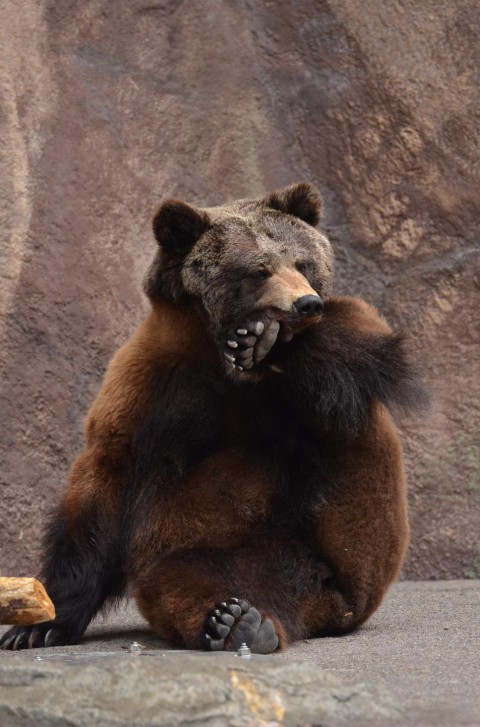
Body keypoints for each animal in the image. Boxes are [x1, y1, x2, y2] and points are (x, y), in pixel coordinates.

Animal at [0, 182, 428, 656]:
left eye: (303, 262)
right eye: (259, 269)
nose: (306, 304)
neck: (213, 354)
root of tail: (345, 605)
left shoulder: (307, 393)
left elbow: (360, 348)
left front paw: (263, 340)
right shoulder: (149, 389)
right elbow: (98, 498)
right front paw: (38, 625)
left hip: (316, 550)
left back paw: (240, 620)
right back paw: (233, 621)